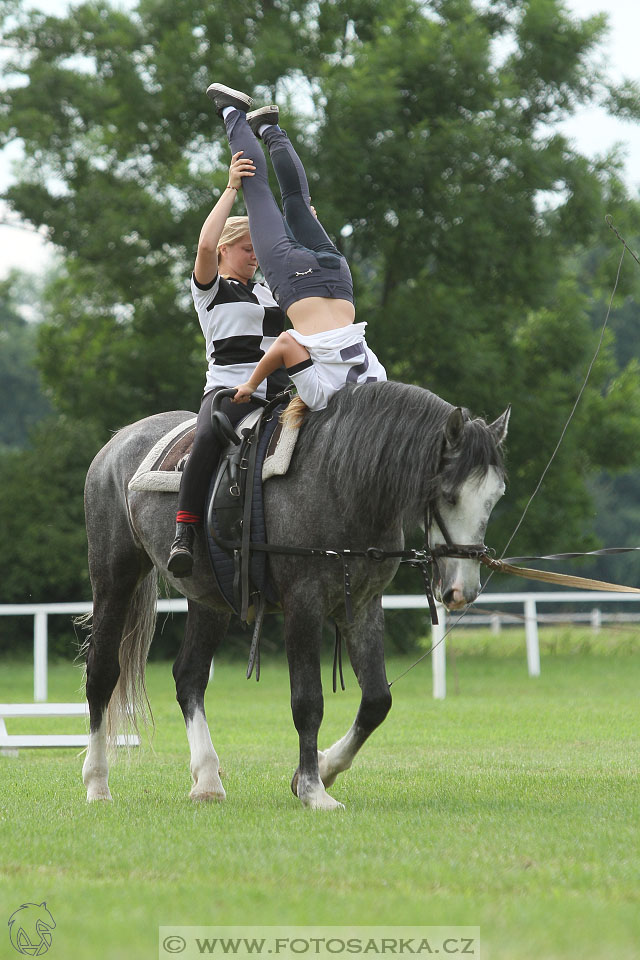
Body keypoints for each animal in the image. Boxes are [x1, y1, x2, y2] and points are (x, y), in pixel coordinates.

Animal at [82, 382, 508, 808]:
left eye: (496, 497)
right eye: (449, 495)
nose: (463, 589)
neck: (338, 481)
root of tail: (118, 441)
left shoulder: (363, 606)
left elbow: (376, 701)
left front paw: (325, 768)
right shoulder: (303, 606)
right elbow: (308, 702)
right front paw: (313, 790)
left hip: (210, 601)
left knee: (189, 677)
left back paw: (207, 779)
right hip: (114, 579)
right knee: (102, 674)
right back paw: (98, 783)